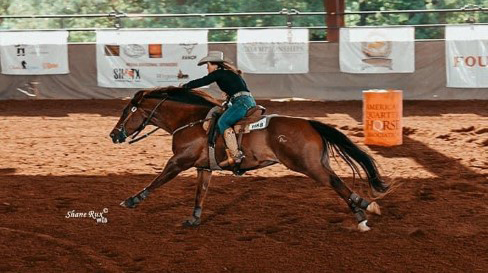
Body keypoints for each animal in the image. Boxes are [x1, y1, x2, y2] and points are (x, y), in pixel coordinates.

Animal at [109, 86, 388, 231]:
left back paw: (365, 210)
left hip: (308, 166)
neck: (190, 121)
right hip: (319, 164)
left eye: (127, 111)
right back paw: (362, 213)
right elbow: (200, 193)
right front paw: (194, 219)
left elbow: (157, 181)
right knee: (337, 182)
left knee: (337, 184)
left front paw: (131, 200)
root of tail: (309, 123)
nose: (114, 134)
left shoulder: (179, 161)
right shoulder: (203, 168)